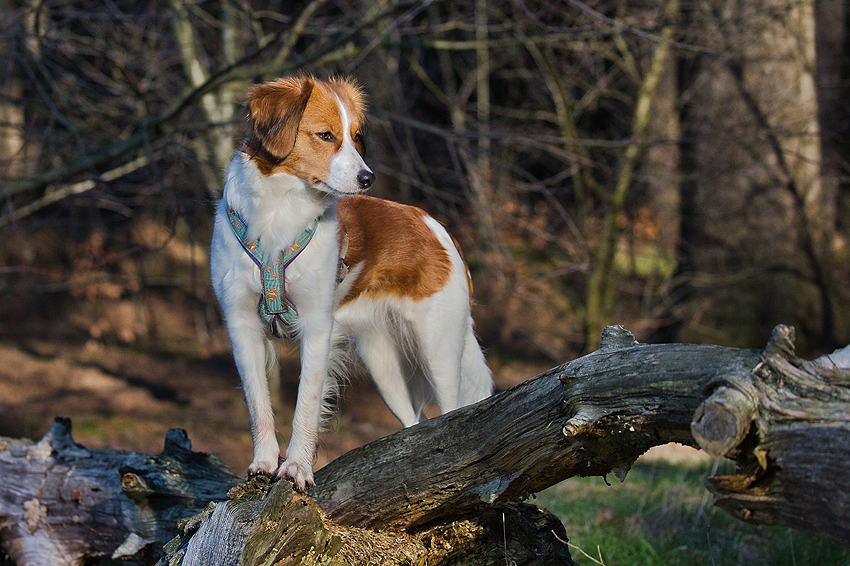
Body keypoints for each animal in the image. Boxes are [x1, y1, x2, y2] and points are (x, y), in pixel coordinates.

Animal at [209, 75, 494, 492]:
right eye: (326, 135)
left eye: (357, 136)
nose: (368, 178)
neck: (280, 211)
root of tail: (435, 226)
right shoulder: (241, 324)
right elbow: (258, 404)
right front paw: (263, 463)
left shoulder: (317, 327)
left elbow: (306, 404)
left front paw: (296, 467)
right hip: (384, 365)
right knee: (414, 422)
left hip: (439, 351)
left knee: (451, 412)